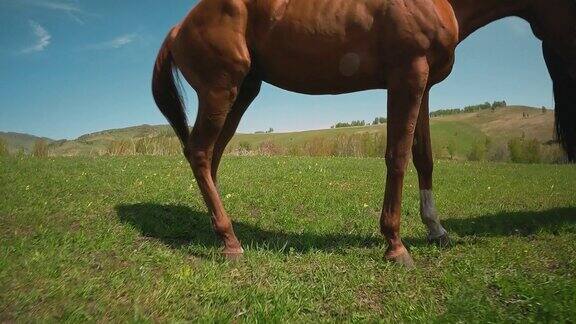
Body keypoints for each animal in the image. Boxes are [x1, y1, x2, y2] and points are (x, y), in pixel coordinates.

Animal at [153, 0, 576, 266]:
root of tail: (177, 28)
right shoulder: (407, 75)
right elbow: (397, 155)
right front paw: (395, 245)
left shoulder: (423, 84)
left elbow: (424, 157)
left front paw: (436, 229)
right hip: (221, 91)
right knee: (200, 152)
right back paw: (230, 242)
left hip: (243, 91)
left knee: (211, 157)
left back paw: (220, 232)